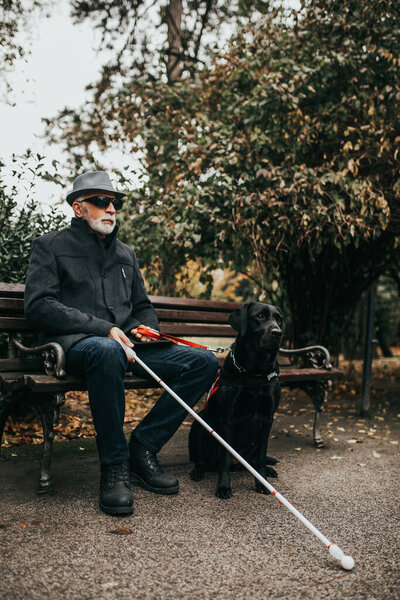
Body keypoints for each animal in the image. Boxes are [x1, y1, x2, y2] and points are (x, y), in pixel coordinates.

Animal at [188, 302, 284, 500]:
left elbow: (261, 456)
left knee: (253, 461)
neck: (254, 372)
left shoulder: (268, 419)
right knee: (201, 460)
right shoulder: (228, 419)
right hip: (200, 423)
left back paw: (268, 470)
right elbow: (224, 459)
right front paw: (224, 486)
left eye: (279, 319)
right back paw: (198, 471)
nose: (278, 333)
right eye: (260, 316)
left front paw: (262, 481)